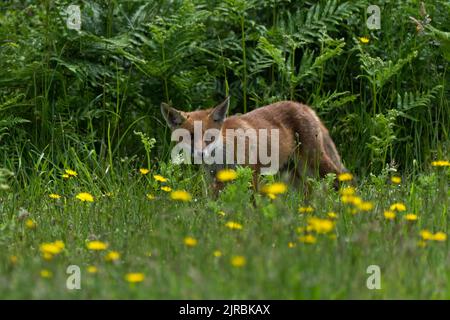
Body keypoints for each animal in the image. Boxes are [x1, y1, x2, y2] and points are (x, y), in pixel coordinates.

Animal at [160, 97, 346, 191]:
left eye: (210, 136)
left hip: (315, 161)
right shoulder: (217, 180)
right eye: (190, 136)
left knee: (343, 178)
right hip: (290, 173)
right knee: (308, 191)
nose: (200, 153)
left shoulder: (252, 174)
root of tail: (304, 106)